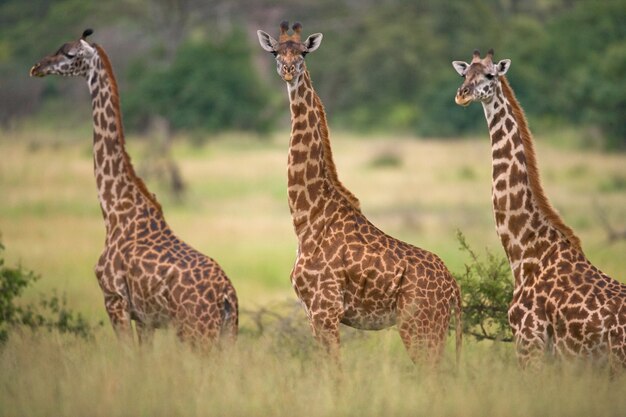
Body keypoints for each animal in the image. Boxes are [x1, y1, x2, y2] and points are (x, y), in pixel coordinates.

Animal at [28, 29, 236, 346]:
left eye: (69, 53)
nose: (37, 67)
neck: (113, 208)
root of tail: (227, 296)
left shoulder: (115, 300)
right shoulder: (145, 319)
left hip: (197, 332)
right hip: (227, 334)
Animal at [256, 22, 460, 364]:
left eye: (303, 53)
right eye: (275, 52)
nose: (288, 70)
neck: (307, 217)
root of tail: (455, 289)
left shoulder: (324, 309)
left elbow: (333, 370)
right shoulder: (313, 312)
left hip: (420, 326)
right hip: (433, 329)